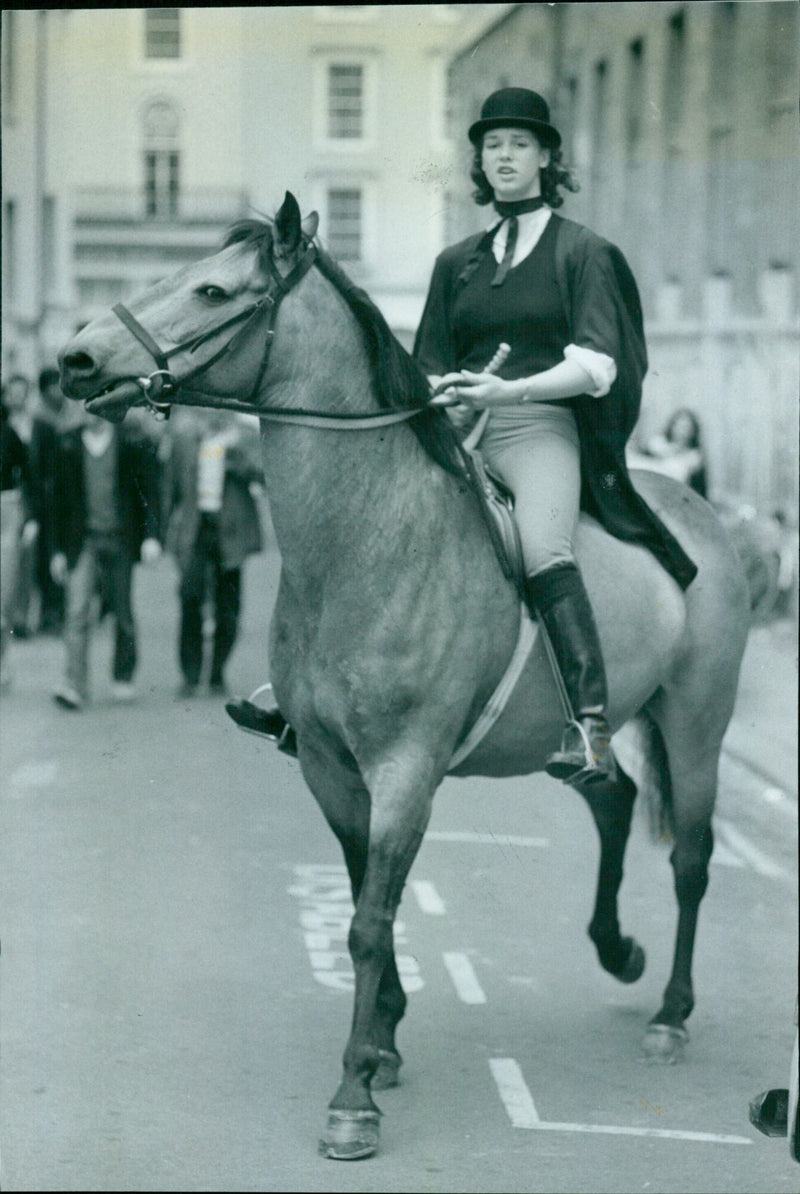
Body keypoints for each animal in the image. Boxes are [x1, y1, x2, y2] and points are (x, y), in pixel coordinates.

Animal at [57, 193, 754, 1155]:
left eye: (210, 290)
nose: (76, 358)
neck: (366, 541)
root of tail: (696, 511)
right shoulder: (329, 765)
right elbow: (364, 902)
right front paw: (384, 1038)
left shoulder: (405, 769)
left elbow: (367, 922)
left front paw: (354, 1091)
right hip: (587, 728)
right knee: (612, 800)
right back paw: (618, 949)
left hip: (695, 723)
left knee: (689, 857)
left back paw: (671, 1014)